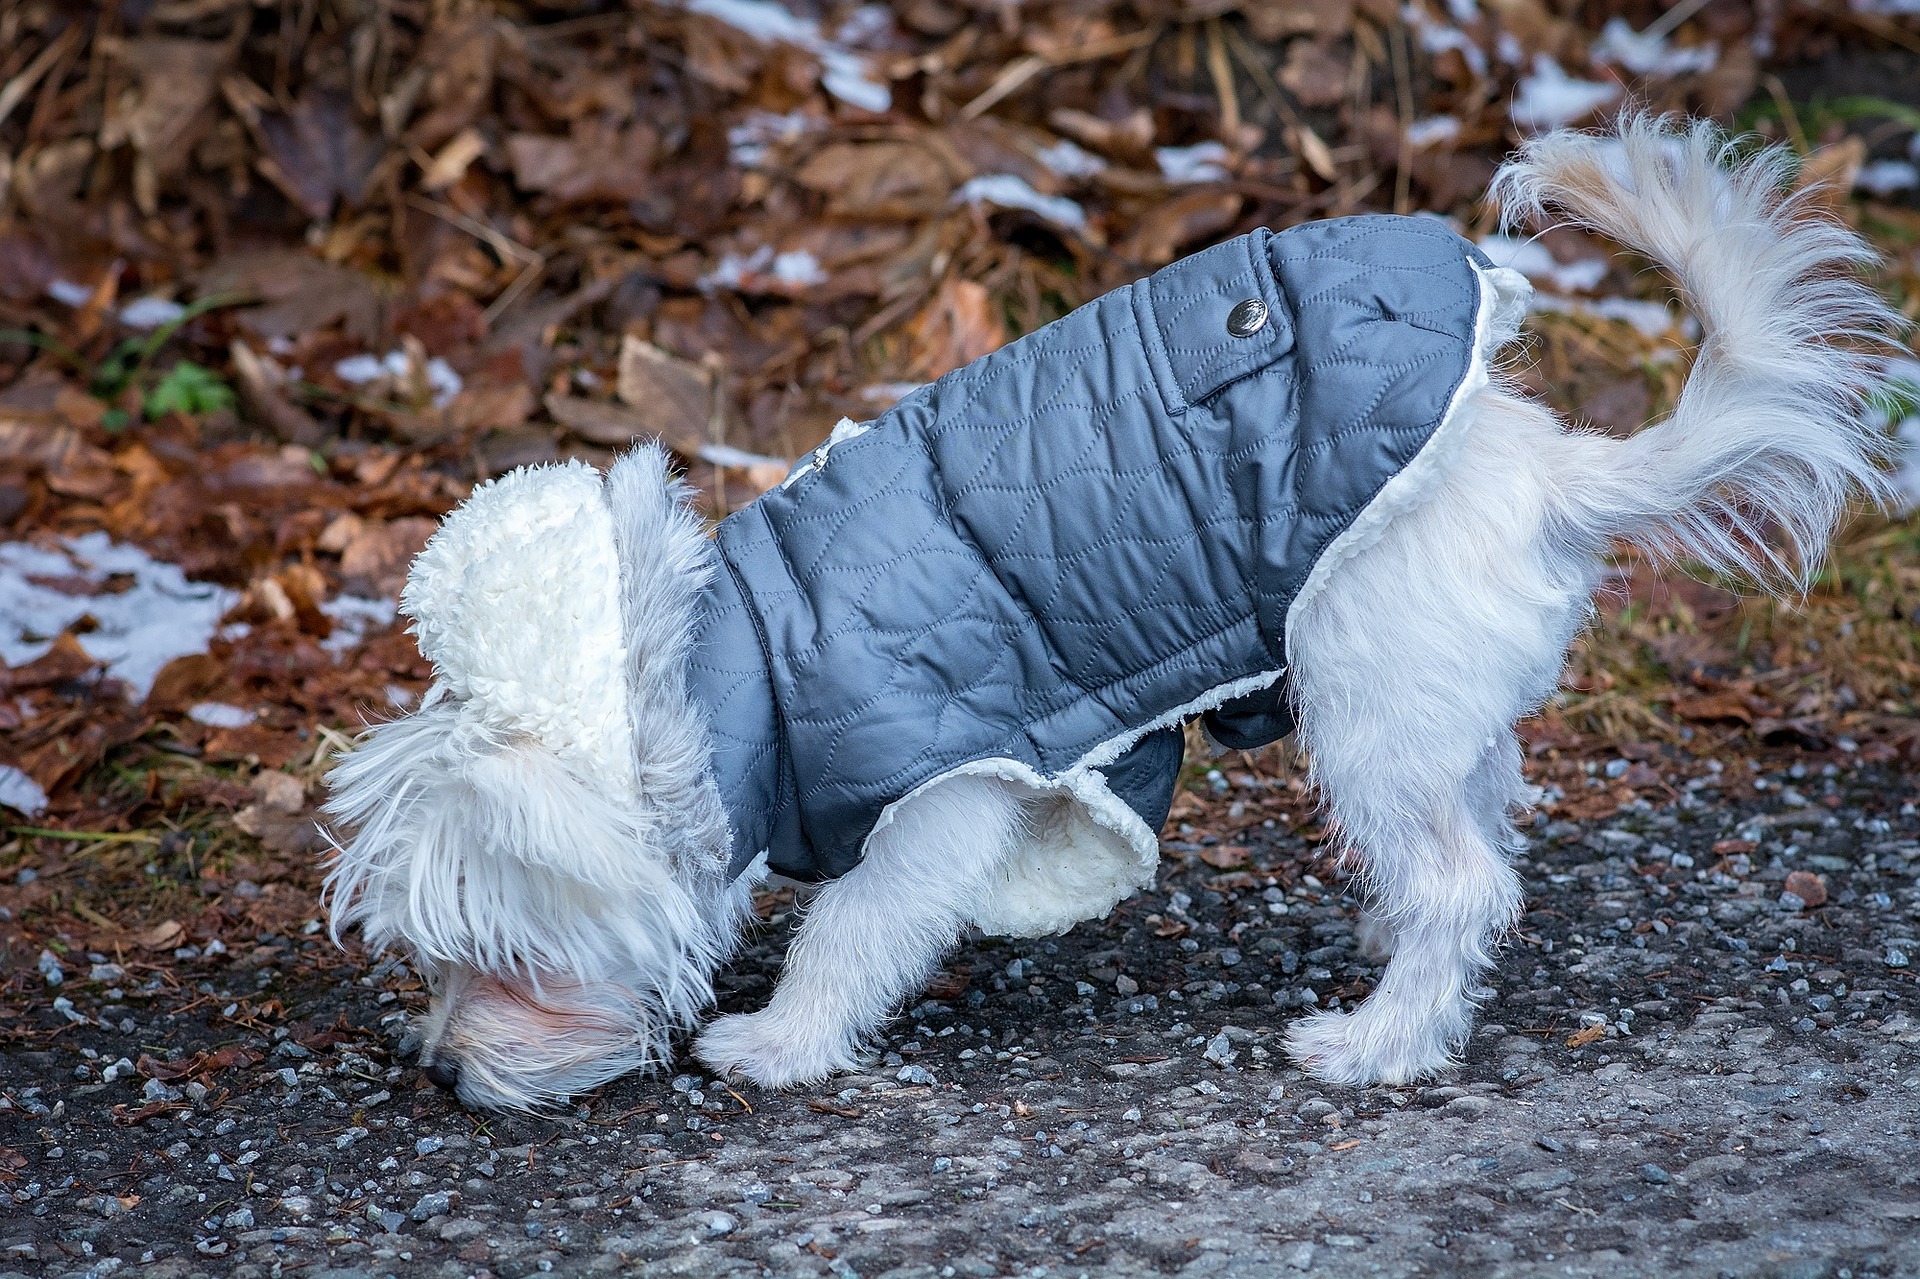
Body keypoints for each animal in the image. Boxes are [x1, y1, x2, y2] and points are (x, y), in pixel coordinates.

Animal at [326, 121, 1889, 1113]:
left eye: (508, 958)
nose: (440, 1069)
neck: (736, 665)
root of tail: (1539, 468)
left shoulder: (947, 790)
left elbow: (853, 926)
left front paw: (777, 1041)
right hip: (1431, 713)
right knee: (1477, 843)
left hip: (1368, 707)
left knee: (1464, 880)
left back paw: (1385, 1039)